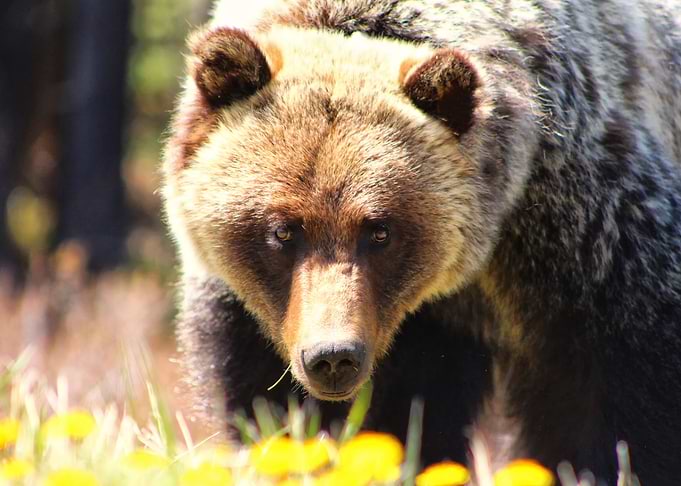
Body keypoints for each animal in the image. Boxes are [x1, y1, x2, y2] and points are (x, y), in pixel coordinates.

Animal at [162, 0, 681, 483]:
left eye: (380, 230)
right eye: (282, 230)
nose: (333, 357)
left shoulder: (587, 230)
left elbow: (611, 400)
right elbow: (273, 399)